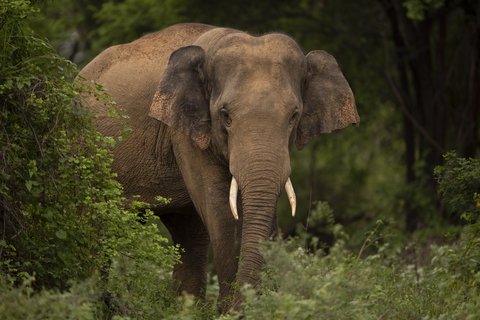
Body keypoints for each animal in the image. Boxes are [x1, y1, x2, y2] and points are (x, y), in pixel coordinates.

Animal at [79, 21, 358, 310]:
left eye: (294, 116)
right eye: (225, 115)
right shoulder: (185, 132)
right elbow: (220, 210)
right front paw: (231, 311)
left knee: (188, 233)